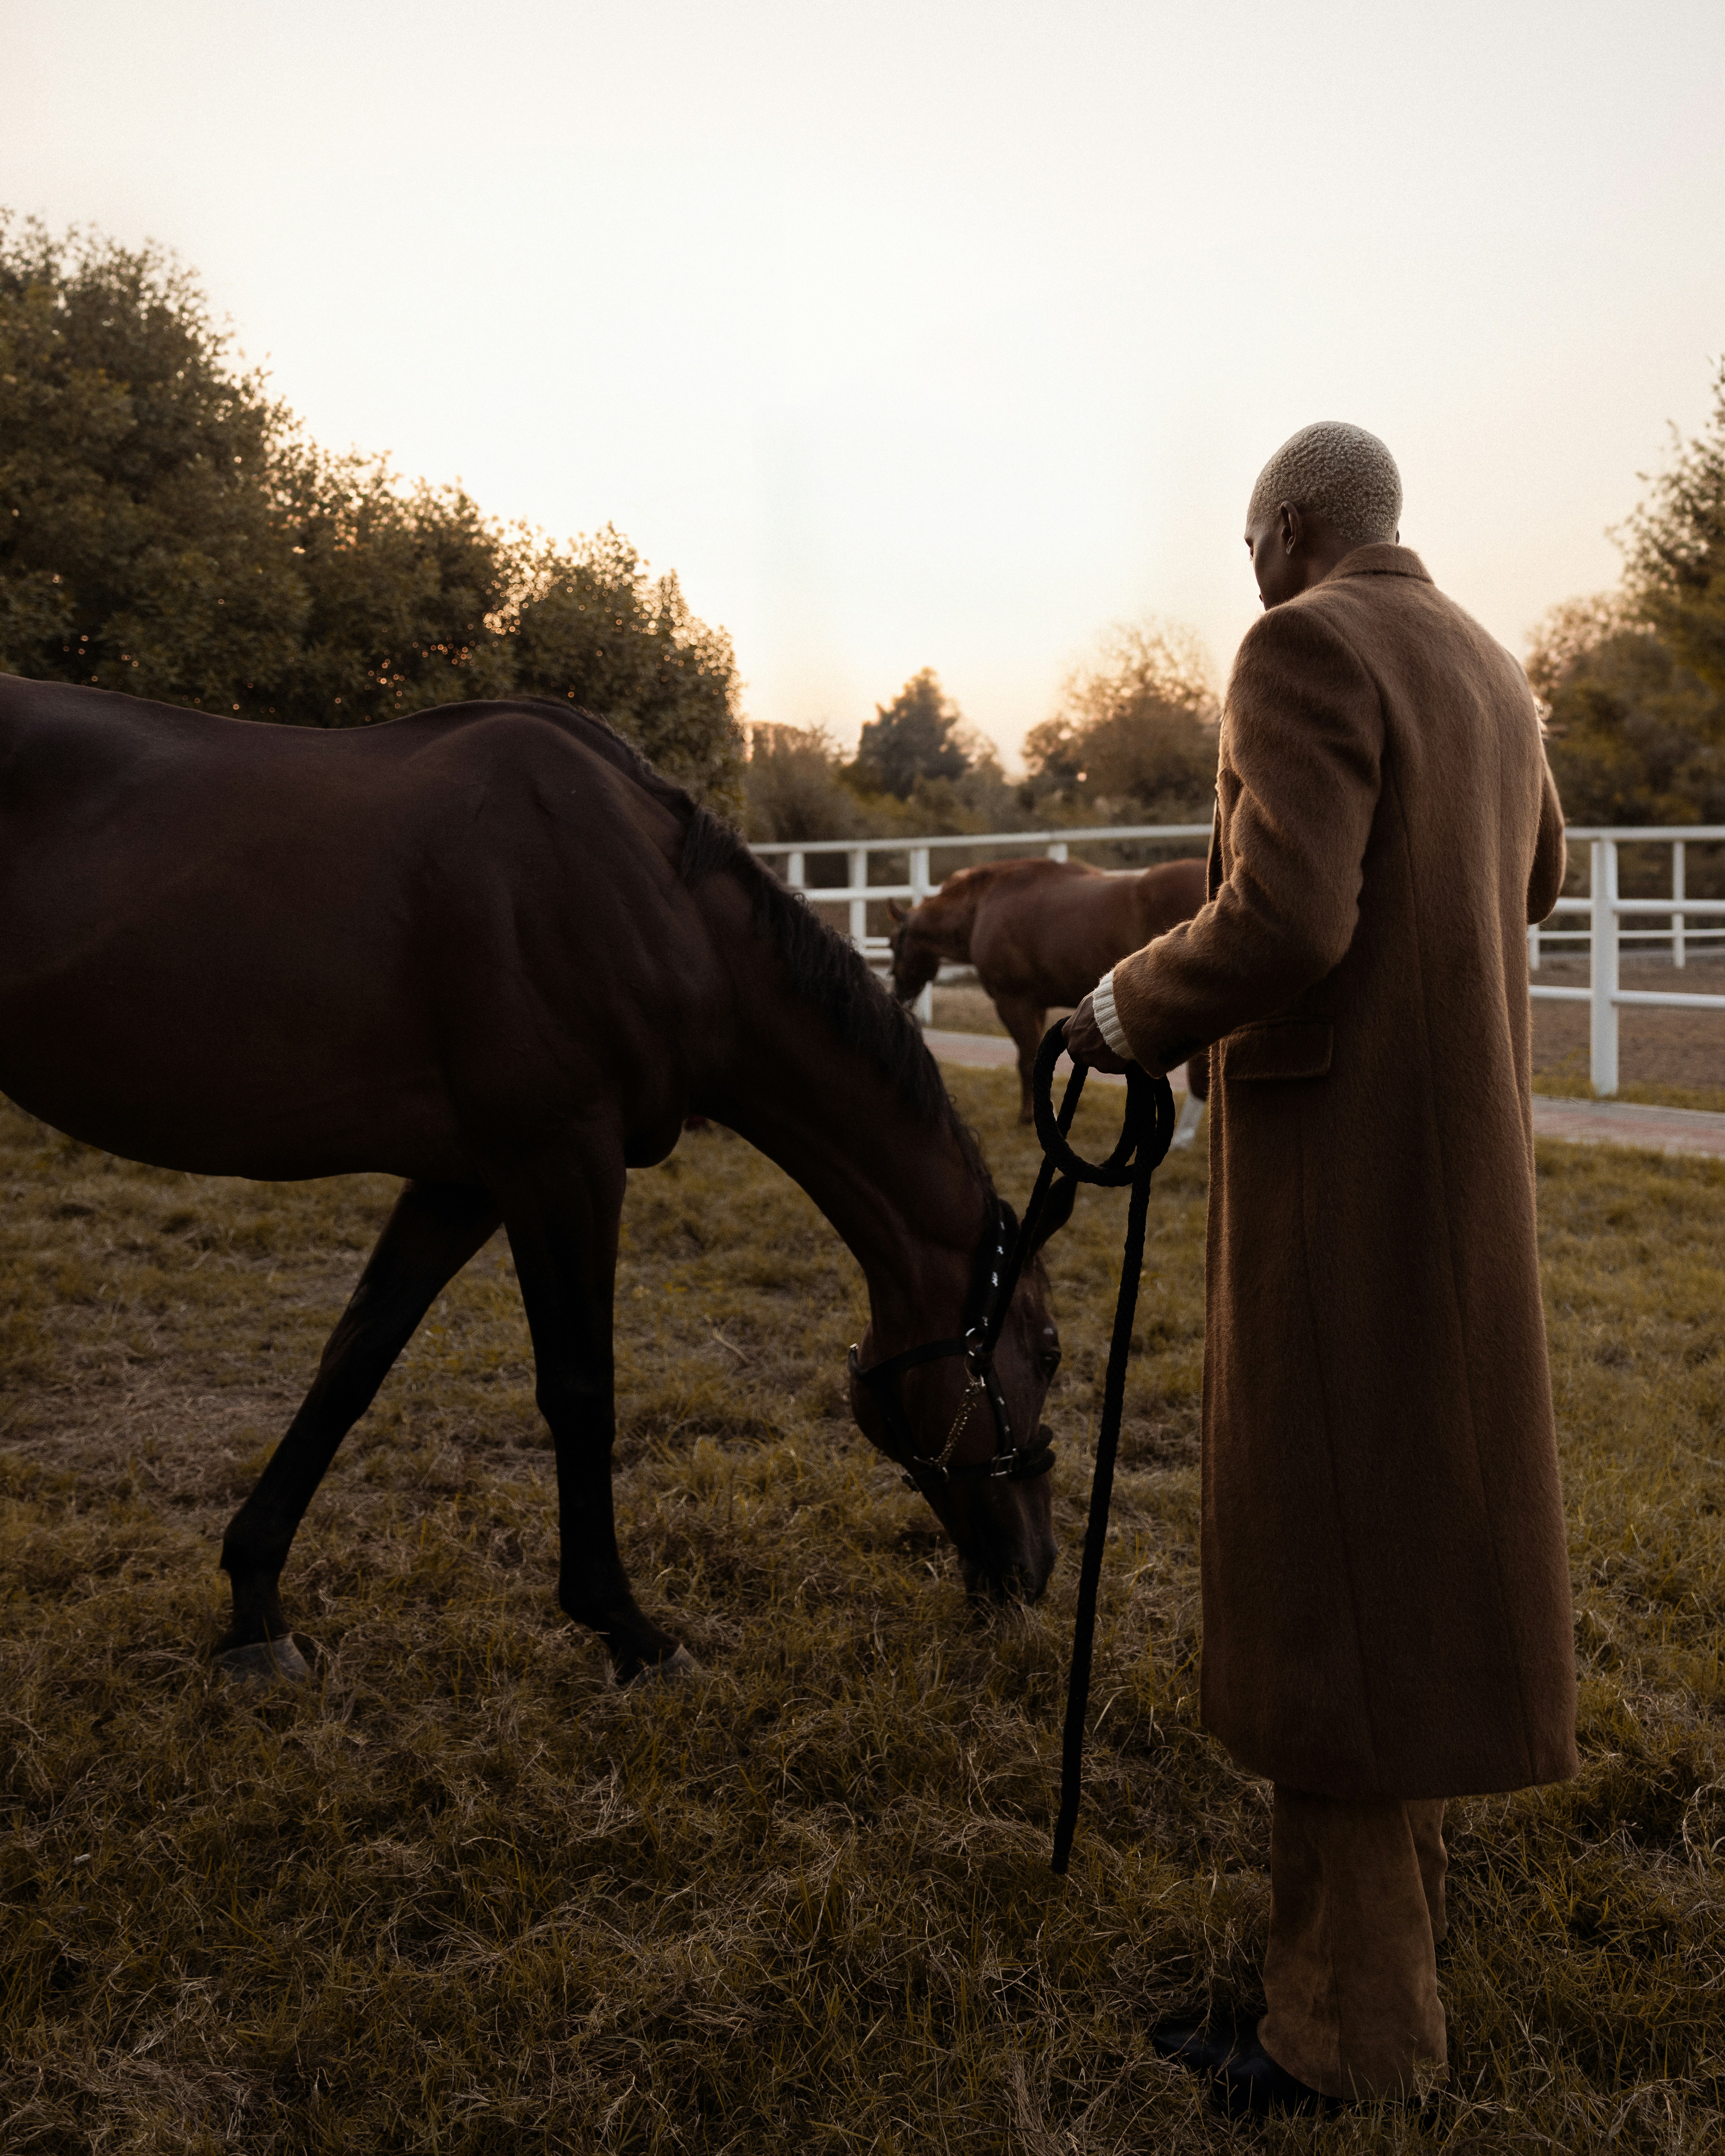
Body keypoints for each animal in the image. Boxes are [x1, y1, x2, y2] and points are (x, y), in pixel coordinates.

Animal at [0, 675, 1077, 1683]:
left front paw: (256, 1606)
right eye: (1050, 1351)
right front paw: (630, 1630)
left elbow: (352, 1362)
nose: (1035, 1570)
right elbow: (581, 1390)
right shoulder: (562, 1162)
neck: (654, 909)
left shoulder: (465, 1182)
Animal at [887, 856, 1211, 1133]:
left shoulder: (1012, 1002)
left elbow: (1027, 1059)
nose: (898, 994)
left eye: (893, 944)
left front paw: (1030, 1118)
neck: (983, 905)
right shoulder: (1037, 1005)